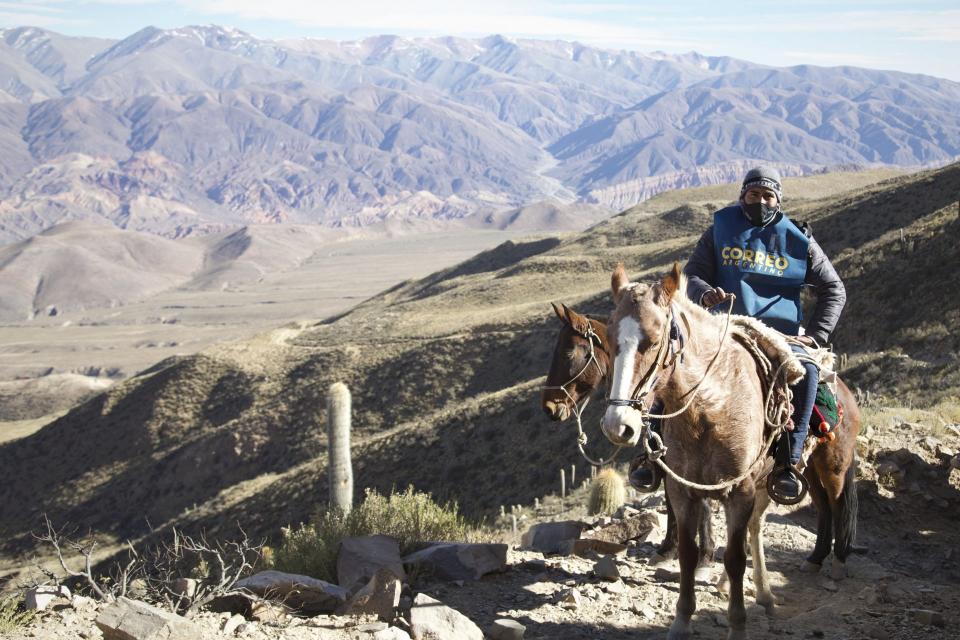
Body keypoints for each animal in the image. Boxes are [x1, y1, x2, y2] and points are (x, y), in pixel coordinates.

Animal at [600, 262, 864, 636]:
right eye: (609, 341)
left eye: (653, 340)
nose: (617, 424)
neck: (711, 407)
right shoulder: (683, 490)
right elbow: (689, 554)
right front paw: (681, 622)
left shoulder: (740, 490)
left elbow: (736, 557)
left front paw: (737, 624)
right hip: (790, 474)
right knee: (788, 517)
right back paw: (780, 582)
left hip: (831, 466)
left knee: (837, 504)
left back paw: (836, 563)